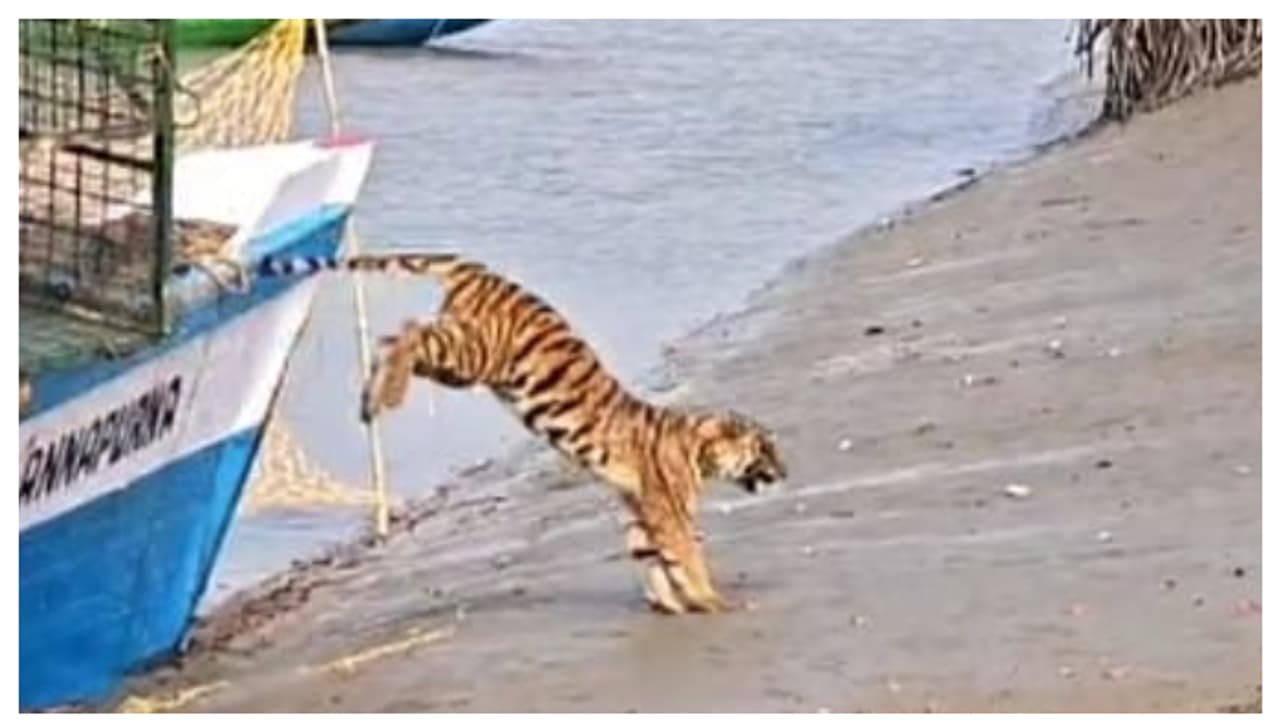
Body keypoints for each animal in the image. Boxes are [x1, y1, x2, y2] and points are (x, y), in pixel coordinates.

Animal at [254, 252, 787, 614]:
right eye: (765, 447)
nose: (784, 472)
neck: (697, 447)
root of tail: (480, 269)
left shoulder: (638, 505)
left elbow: (650, 556)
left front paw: (670, 604)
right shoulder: (667, 508)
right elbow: (686, 556)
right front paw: (712, 600)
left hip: (458, 361)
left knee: (393, 336)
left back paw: (371, 399)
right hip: (472, 353)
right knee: (409, 332)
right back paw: (388, 395)